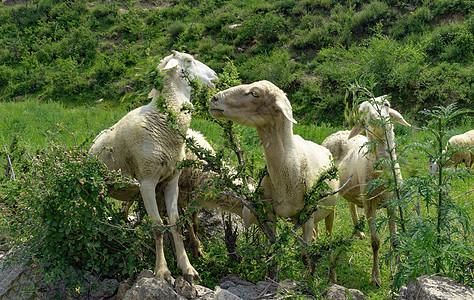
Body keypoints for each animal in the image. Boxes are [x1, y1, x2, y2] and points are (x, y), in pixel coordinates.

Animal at [89, 50, 218, 282]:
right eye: (188, 60)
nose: (215, 77)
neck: (162, 120)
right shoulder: (147, 182)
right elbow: (157, 226)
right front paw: (162, 270)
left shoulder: (172, 180)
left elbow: (175, 222)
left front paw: (187, 267)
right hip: (97, 188)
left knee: (121, 213)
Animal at [209, 80, 338, 276]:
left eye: (255, 94)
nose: (214, 99)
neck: (288, 167)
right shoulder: (270, 211)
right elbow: (272, 248)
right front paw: (271, 276)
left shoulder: (307, 214)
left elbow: (304, 255)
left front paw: (309, 280)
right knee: (315, 238)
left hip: (329, 211)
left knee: (328, 240)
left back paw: (330, 276)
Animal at [322, 95, 412, 286]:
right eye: (362, 111)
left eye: (386, 104)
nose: (377, 119)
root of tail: (336, 132)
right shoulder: (370, 203)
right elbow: (376, 242)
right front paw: (376, 277)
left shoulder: (393, 202)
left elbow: (395, 240)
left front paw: (398, 271)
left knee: (350, 204)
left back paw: (358, 230)